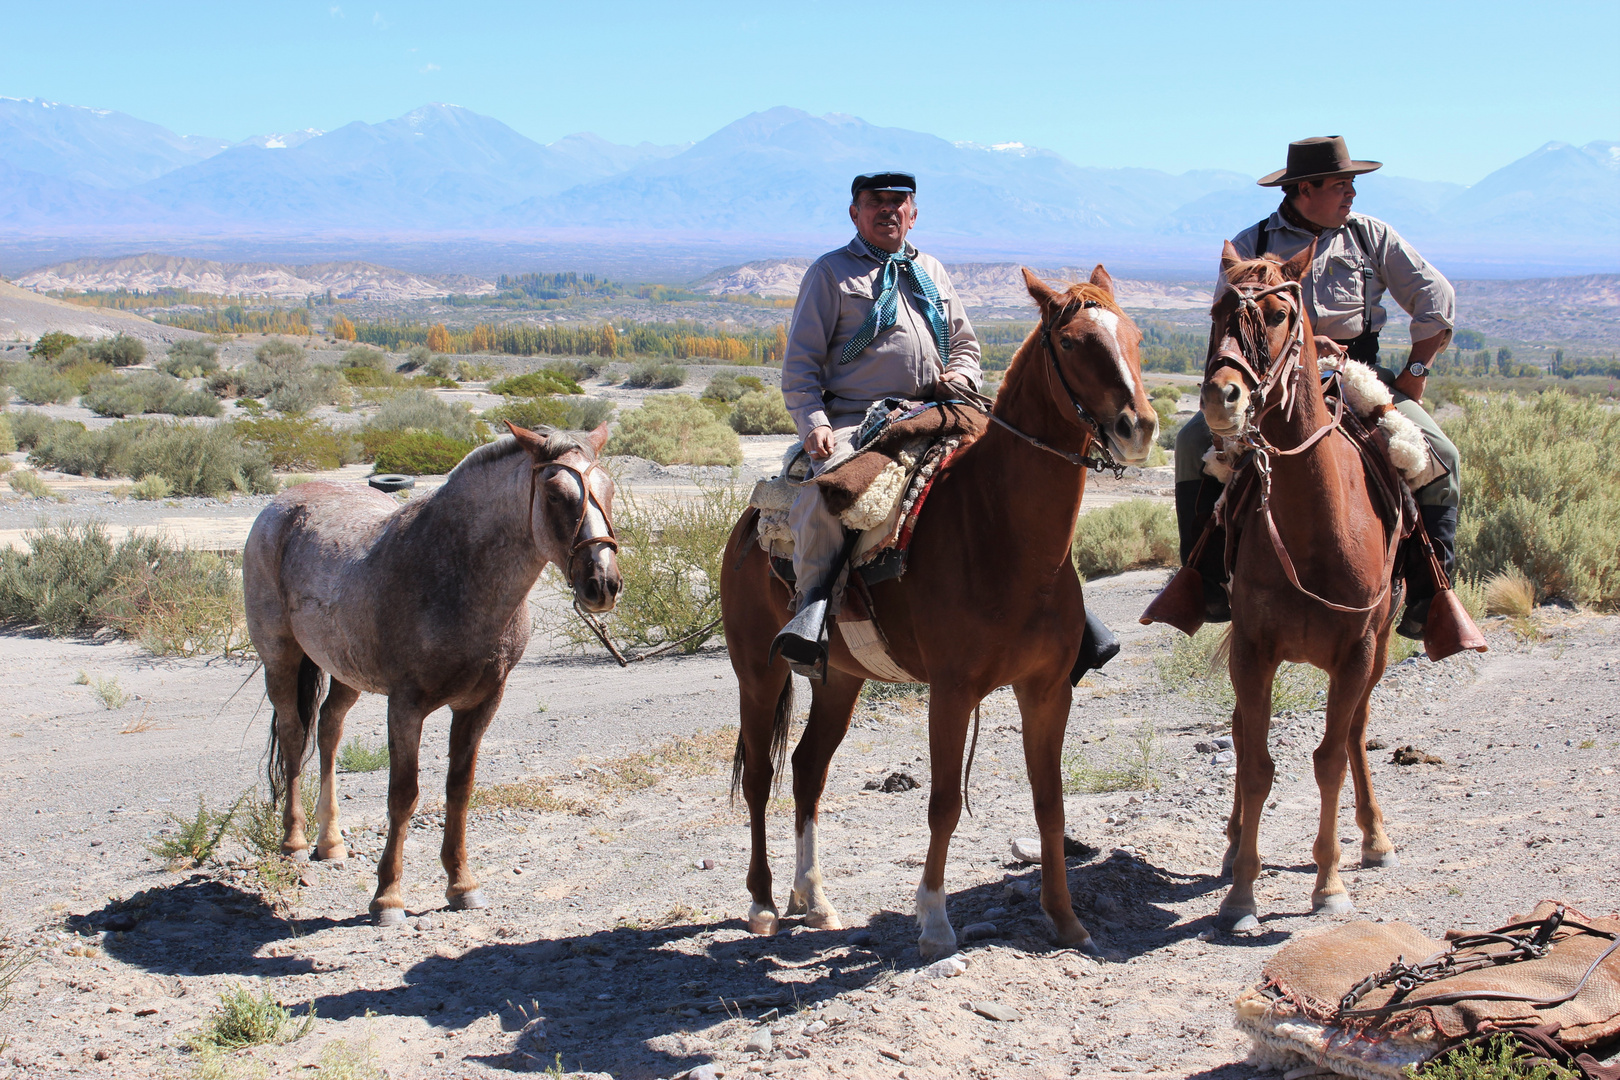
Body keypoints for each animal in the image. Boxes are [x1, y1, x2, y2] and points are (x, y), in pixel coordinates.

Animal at [243, 417, 622, 926]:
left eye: (610, 489)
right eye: (555, 494)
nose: (602, 583)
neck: (458, 574)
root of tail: (280, 505)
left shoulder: (481, 704)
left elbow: (459, 790)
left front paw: (461, 884)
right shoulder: (406, 707)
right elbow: (403, 795)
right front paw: (388, 897)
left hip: (344, 671)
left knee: (328, 731)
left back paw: (332, 842)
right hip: (281, 659)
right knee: (293, 735)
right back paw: (296, 841)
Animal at [719, 270, 1153, 965]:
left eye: (1136, 336)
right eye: (1072, 341)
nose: (1140, 426)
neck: (1003, 533)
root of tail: (750, 524)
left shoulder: (1047, 690)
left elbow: (1051, 804)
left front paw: (1064, 920)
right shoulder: (951, 691)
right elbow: (944, 803)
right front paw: (934, 923)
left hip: (841, 679)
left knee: (808, 770)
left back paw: (814, 900)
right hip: (757, 674)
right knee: (761, 775)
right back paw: (762, 903)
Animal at [1179, 242, 1406, 932]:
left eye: (1279, 312)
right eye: (1216, 312)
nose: (1222, 397)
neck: (1315, 527)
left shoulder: (1356, 652)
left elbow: (1329, 758)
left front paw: (1330, 883)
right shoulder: (1254, 652)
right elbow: (1255, 763)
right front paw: (1241, 894)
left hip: (1378, 652)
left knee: (1356, 733)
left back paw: (1374, 838)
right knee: (1239, 729)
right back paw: (1233, 846)